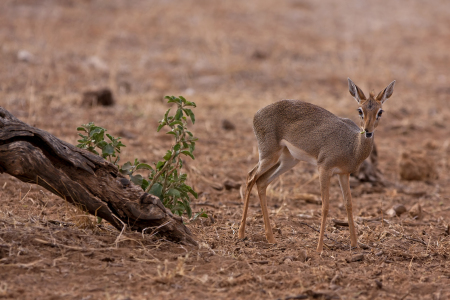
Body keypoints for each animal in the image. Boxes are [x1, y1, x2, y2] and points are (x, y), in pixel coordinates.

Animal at [237, 78, 396, 252]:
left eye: (380, 111)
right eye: (360, 110)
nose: (367, 131)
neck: (352, 145)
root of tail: (257, 113)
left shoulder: (343, 173)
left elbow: (349, 204)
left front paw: (355, 244)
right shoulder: (324, 169)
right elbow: (325, 206)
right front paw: (319, 248)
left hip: (287, 161)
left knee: (262, 182)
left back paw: (271, 238)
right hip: (268, 156)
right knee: (250, 177)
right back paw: (241, 234)